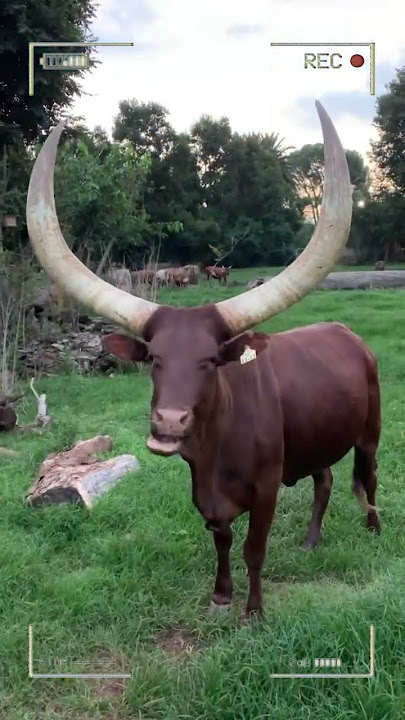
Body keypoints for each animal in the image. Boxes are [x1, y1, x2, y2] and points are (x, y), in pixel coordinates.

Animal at [26, 101, 381, 617]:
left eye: (212, 360)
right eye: (153, 357)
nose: (170, 422)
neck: (217, 450)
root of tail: (348, 334)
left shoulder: (267, 489)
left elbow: (254, 548)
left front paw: (253, 611)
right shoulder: (204, 494)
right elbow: (222, 541)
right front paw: (221, 596)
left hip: (371, 432)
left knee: (367, 478)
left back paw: (374, 529)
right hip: (316, 435)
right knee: (325, 479)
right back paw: (312, 540)